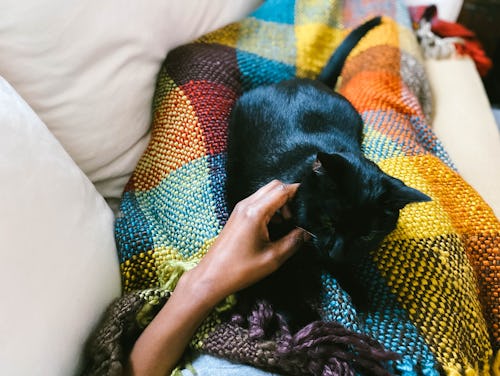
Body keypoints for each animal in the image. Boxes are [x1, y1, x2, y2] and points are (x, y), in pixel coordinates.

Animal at [225, 16, 428, 330]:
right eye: (329, 222)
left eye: (367, 235)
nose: (337, 250)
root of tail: (309, 81)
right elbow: (280, 282)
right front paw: (303, 320)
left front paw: (353, 286)